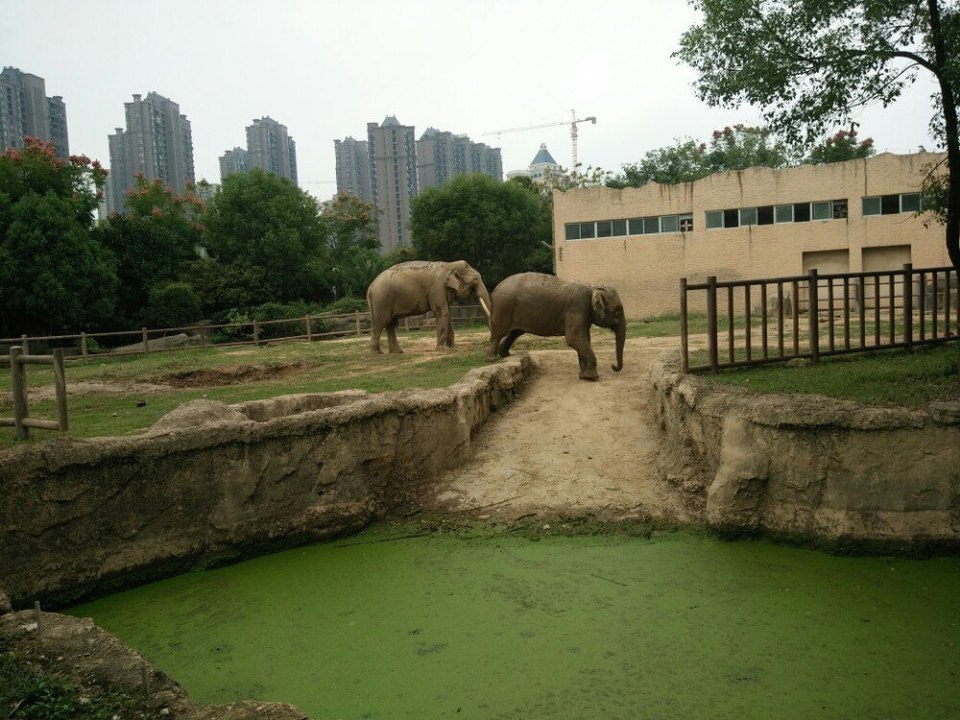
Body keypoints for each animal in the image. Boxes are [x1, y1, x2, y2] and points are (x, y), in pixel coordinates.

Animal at [484, 272, 628, 382]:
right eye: (617, 311)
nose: (613, 366)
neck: (592, 287)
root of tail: (495, 288)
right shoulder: (577, 308)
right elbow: (574, 339)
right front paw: (591, 378)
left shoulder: (583, 314)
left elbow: (584, 338)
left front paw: (583, 375)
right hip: (503, 307)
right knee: (499, 333)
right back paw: (492, 358)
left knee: (515, 333)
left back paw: (505, 354)